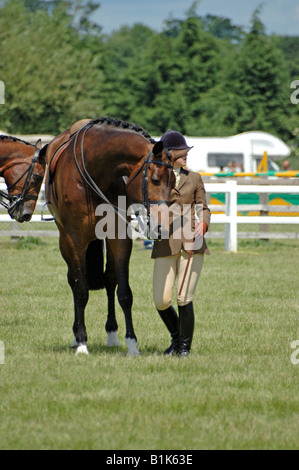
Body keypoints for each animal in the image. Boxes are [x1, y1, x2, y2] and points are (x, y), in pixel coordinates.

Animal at [45, 117, 176, 356]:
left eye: (173, 183)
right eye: (154, 179)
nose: (163, 224)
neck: (92, 173)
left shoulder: (119, 236)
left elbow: (124, 292)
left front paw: (132, 344)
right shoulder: (74, 239)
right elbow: (81, 289)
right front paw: (82, 343)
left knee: (109, 280)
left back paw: (112, 334)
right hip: (65, 242)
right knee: (74, 280)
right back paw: (76, 336)